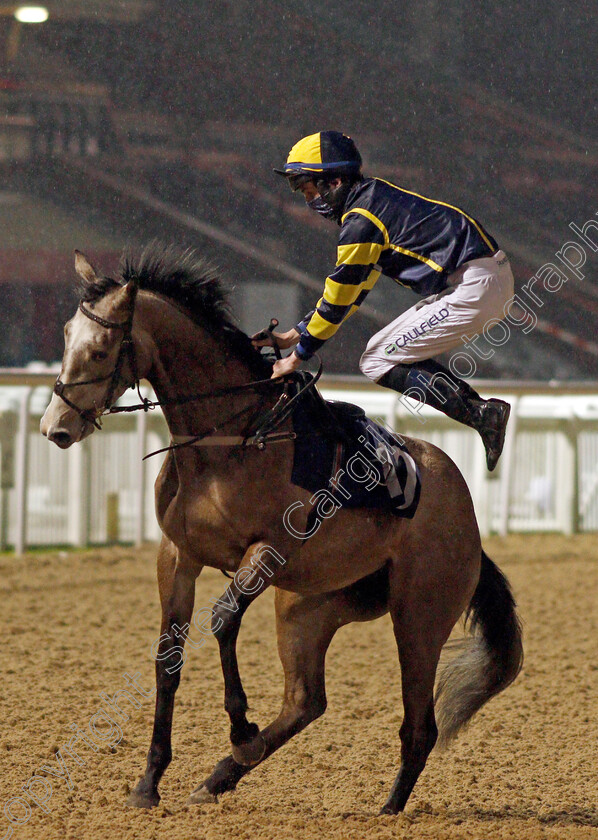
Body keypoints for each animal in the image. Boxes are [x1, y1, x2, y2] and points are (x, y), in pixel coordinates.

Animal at [39, 243, 524, 812]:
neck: (230, 439)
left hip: (420, 613)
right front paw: (149, 780)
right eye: (66, 337)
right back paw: (220, 777)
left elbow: (222, 619)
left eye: (99, 350)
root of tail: (468, 520)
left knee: (419, 724)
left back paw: (387, 808)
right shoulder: (178, 555)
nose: (55, 428)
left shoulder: (269, 550)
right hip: (305, 606)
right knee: (305, 700)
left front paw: (240, 727)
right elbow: (168, 655)